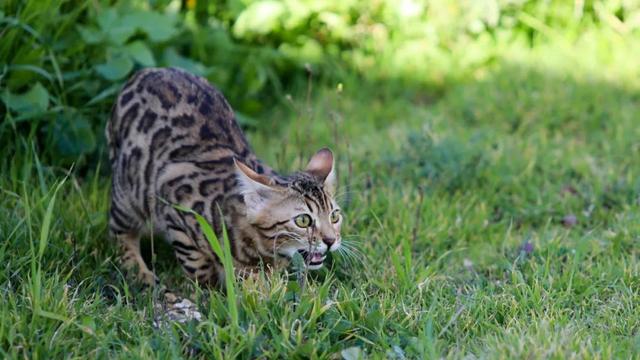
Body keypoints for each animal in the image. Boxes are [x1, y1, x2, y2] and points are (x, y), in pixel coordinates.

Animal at [107, 67, 342, 292]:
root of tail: (146, 72)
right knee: (119, 234)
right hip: (128, 193)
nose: (331, 240)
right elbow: (197, 264)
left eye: (334, 216)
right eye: (303, 221)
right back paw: (140, 273)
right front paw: (208, 290)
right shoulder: (173, 205)